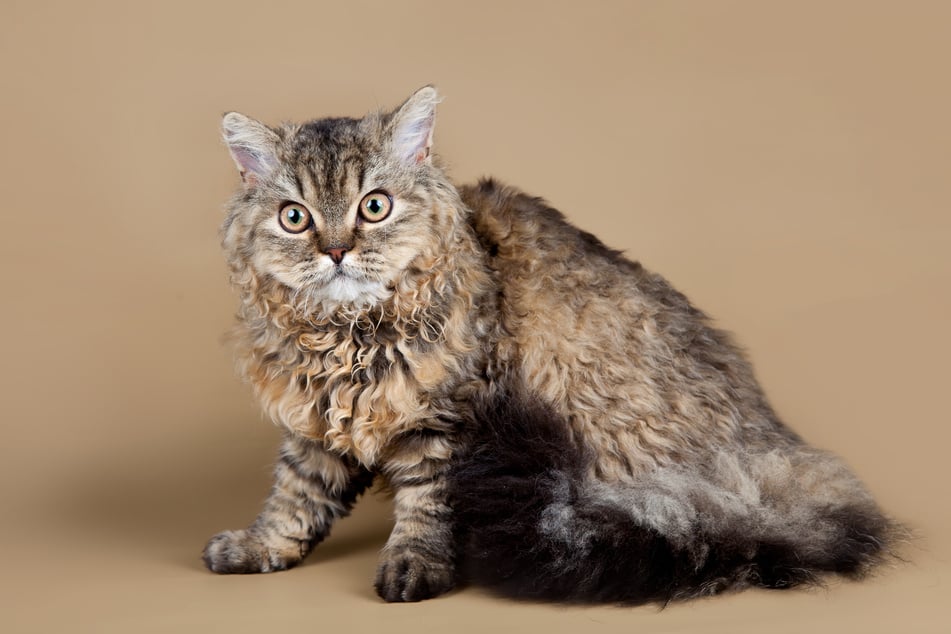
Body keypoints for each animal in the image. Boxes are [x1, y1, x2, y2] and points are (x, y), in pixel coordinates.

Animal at [203, 85, 900, 604]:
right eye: (295, 217)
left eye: (374, 207)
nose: (336, 251)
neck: (347, 337)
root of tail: (778, 467)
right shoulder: (319, 419)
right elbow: (296, 497)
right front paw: (260, 547)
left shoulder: (449, 420)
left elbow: (426, 505)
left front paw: (412, 567)